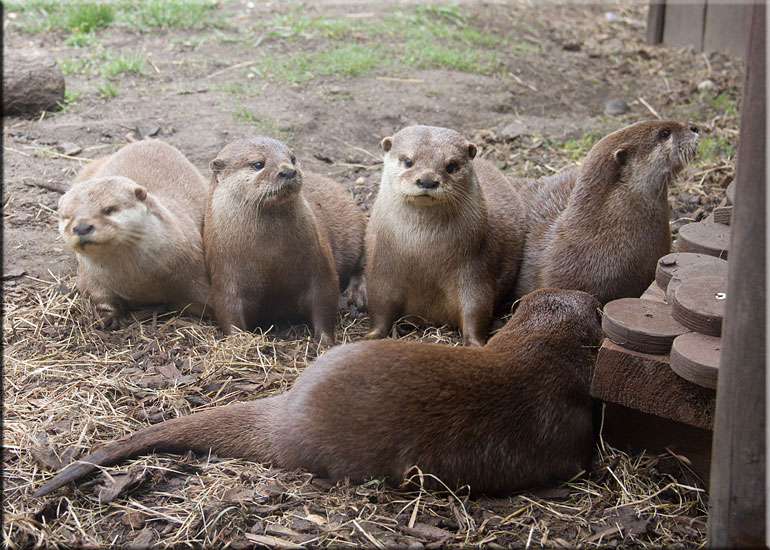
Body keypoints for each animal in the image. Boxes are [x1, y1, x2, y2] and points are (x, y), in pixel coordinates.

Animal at [57, 139, 211, 327]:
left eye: (109, 210)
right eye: (67, 217)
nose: (82, 227)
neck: (143, 285)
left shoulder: (197, 273)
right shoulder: (90, 278)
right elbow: (98, 296)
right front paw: (113, 316)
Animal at [204, 137, 366, 345]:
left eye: (292, 158)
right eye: (258, 164)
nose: (288, 170)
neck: (271, 255)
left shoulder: (319, 265)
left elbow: (325, 300)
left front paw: (326, 342)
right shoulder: (226, 275)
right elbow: (229, 311)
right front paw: (240, 341)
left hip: (358, 227)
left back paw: (356, 293)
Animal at [364, 125, 525, 346]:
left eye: (451, 165)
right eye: (408, 161)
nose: (427, 180)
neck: (422, 251)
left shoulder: (474, 266)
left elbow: (476, 307)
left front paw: (475, 344)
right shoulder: (382, 264)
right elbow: (379, 304)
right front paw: (371, 335)